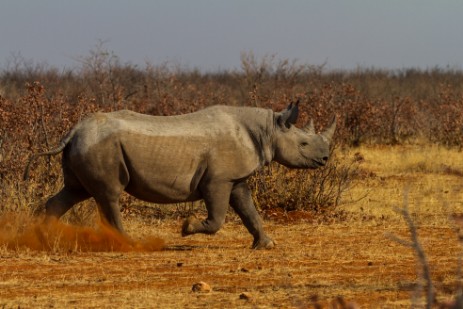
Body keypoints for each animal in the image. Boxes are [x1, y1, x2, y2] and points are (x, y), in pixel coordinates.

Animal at [24, 102, 334, 249]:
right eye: (304, 144)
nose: (325, 159)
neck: (267, 130)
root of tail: (73, 130)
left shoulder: (234, 179)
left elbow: (248, 210)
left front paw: (266, 245)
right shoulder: (217, 180)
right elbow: (218, 218)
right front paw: (186, 228)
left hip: (85, 146)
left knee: (75, 192)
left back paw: (43, 237)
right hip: (100, 147)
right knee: (108, 195)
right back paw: (130, 244)